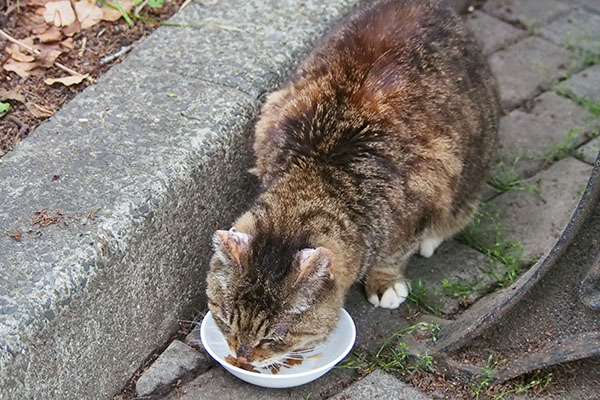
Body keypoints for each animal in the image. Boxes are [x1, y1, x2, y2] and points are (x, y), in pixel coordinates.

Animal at [207, 0, 502, 368]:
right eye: (225, 320)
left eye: (274, 337)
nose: (242, 357)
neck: (320, 168)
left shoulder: (425, 193)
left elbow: (396, 251)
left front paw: (385, 282)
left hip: (474, 164)